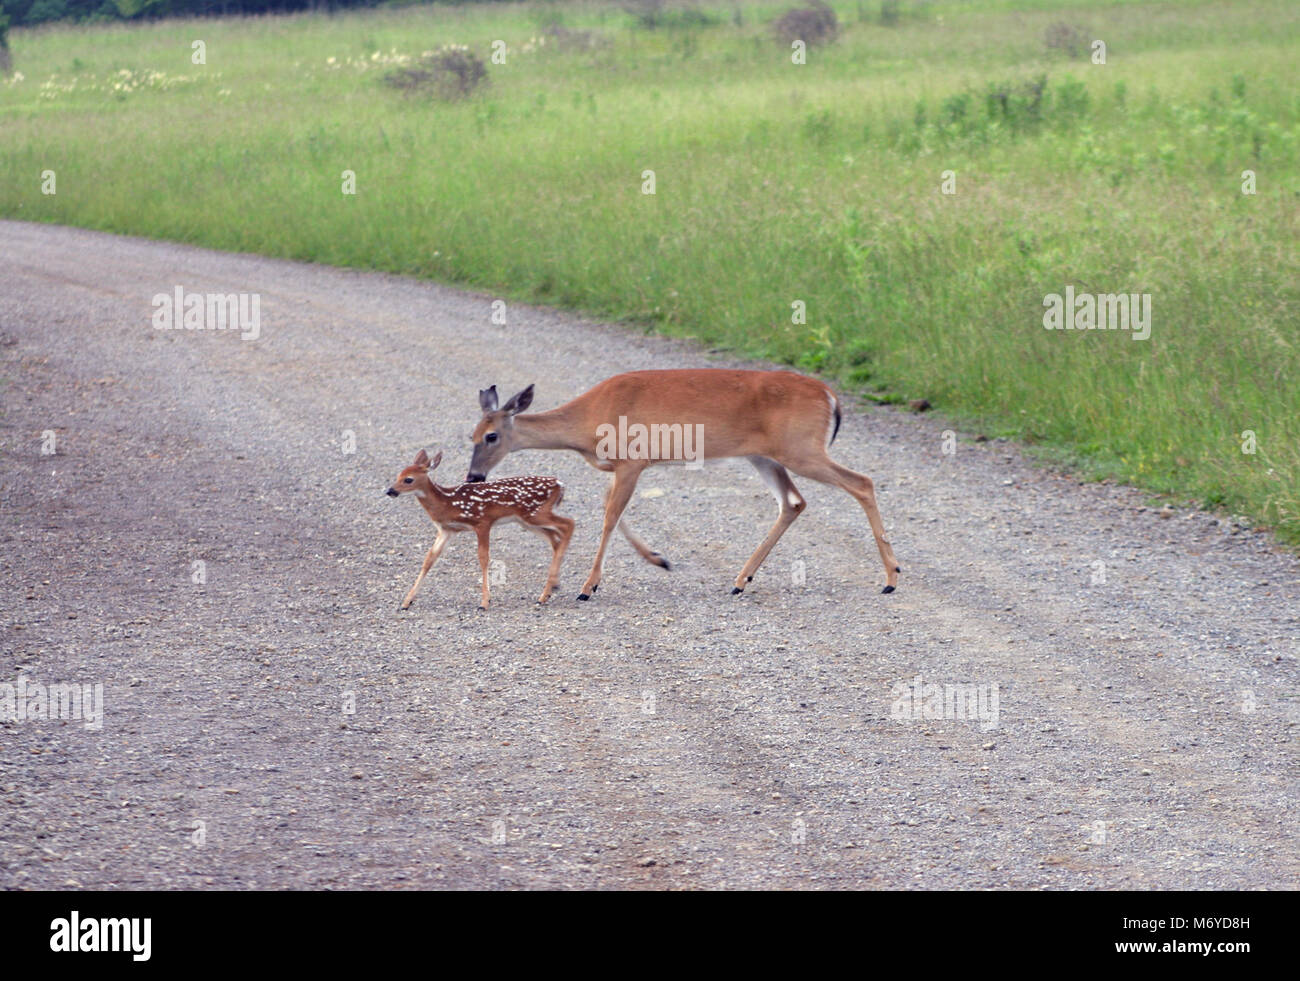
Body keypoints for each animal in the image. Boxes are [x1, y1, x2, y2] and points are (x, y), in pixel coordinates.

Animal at [385, 448, 574, 610]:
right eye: (398, 475)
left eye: (408, 479)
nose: (390, 491)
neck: (448, 503)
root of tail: (560, 484)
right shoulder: (447, 530)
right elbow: (429, 559)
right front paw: (406, 601)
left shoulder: (482, 522)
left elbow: (483, 558)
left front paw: (484, 602)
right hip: (527, 521)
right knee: (555, 538)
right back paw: (550, 589)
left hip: (535, 513)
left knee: (568, 524)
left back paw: (545, 593)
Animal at [465, 369, 901, 601]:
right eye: (470, 435)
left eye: (491, 436)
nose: (473, 477)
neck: (588, 421)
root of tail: (830, 396)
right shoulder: (622, 467)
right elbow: (612, 510)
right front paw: (659, 559)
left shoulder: (633, 460)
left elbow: (609, 516)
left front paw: (588, 587)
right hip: (767, 456)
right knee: (793, 502)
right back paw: (741, 580)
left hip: (802, 449)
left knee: (862, 482)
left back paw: (891, 578)